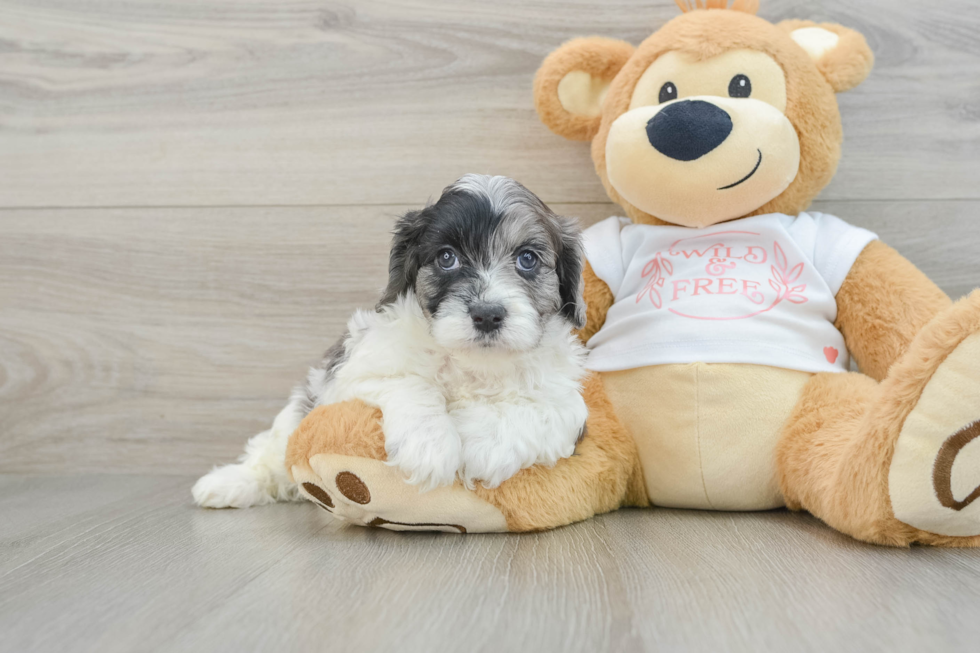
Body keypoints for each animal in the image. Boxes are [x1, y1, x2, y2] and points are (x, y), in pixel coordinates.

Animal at [195, 172, 584, 504]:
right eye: (447, 257)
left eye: (527, 259)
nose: (487, 314)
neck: (475, 364)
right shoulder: (353, 374)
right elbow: (411, 383)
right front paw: (431, 447)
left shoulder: (568, 404)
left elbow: (544, 410)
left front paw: (486, 444)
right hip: (296, 414)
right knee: (271, 453)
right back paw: (226, 484)